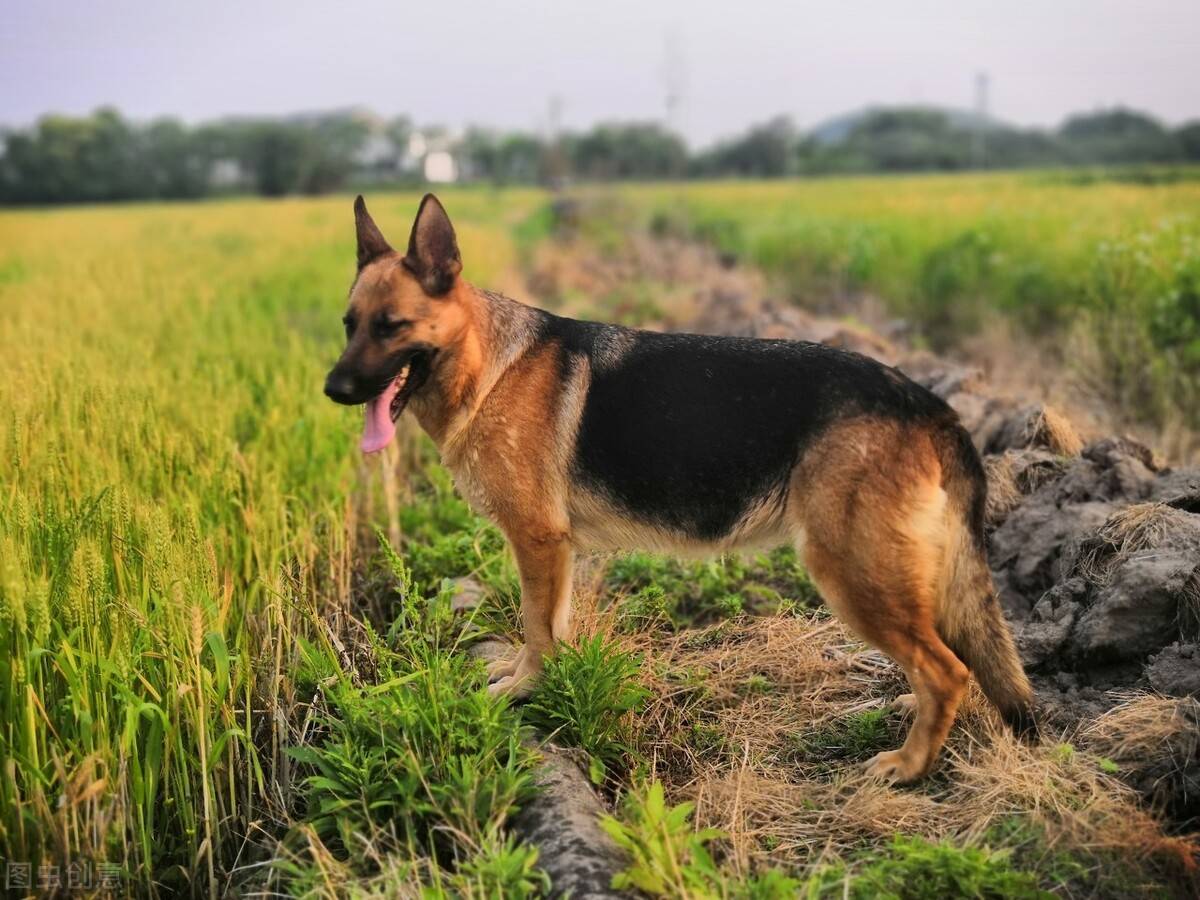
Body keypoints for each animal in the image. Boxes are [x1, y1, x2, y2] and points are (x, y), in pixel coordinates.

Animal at [324, 195, 1036, 782]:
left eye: (391, 325)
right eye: (348, 323)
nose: (332, 390)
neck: (487, 364)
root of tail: (931, 404)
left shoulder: (538, 542)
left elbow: (535, 624)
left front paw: (526, 689)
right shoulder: (558, 551)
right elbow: (553, 627)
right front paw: (542, 682)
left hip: (853, 573)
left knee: (947, 672)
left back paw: (909, 767)